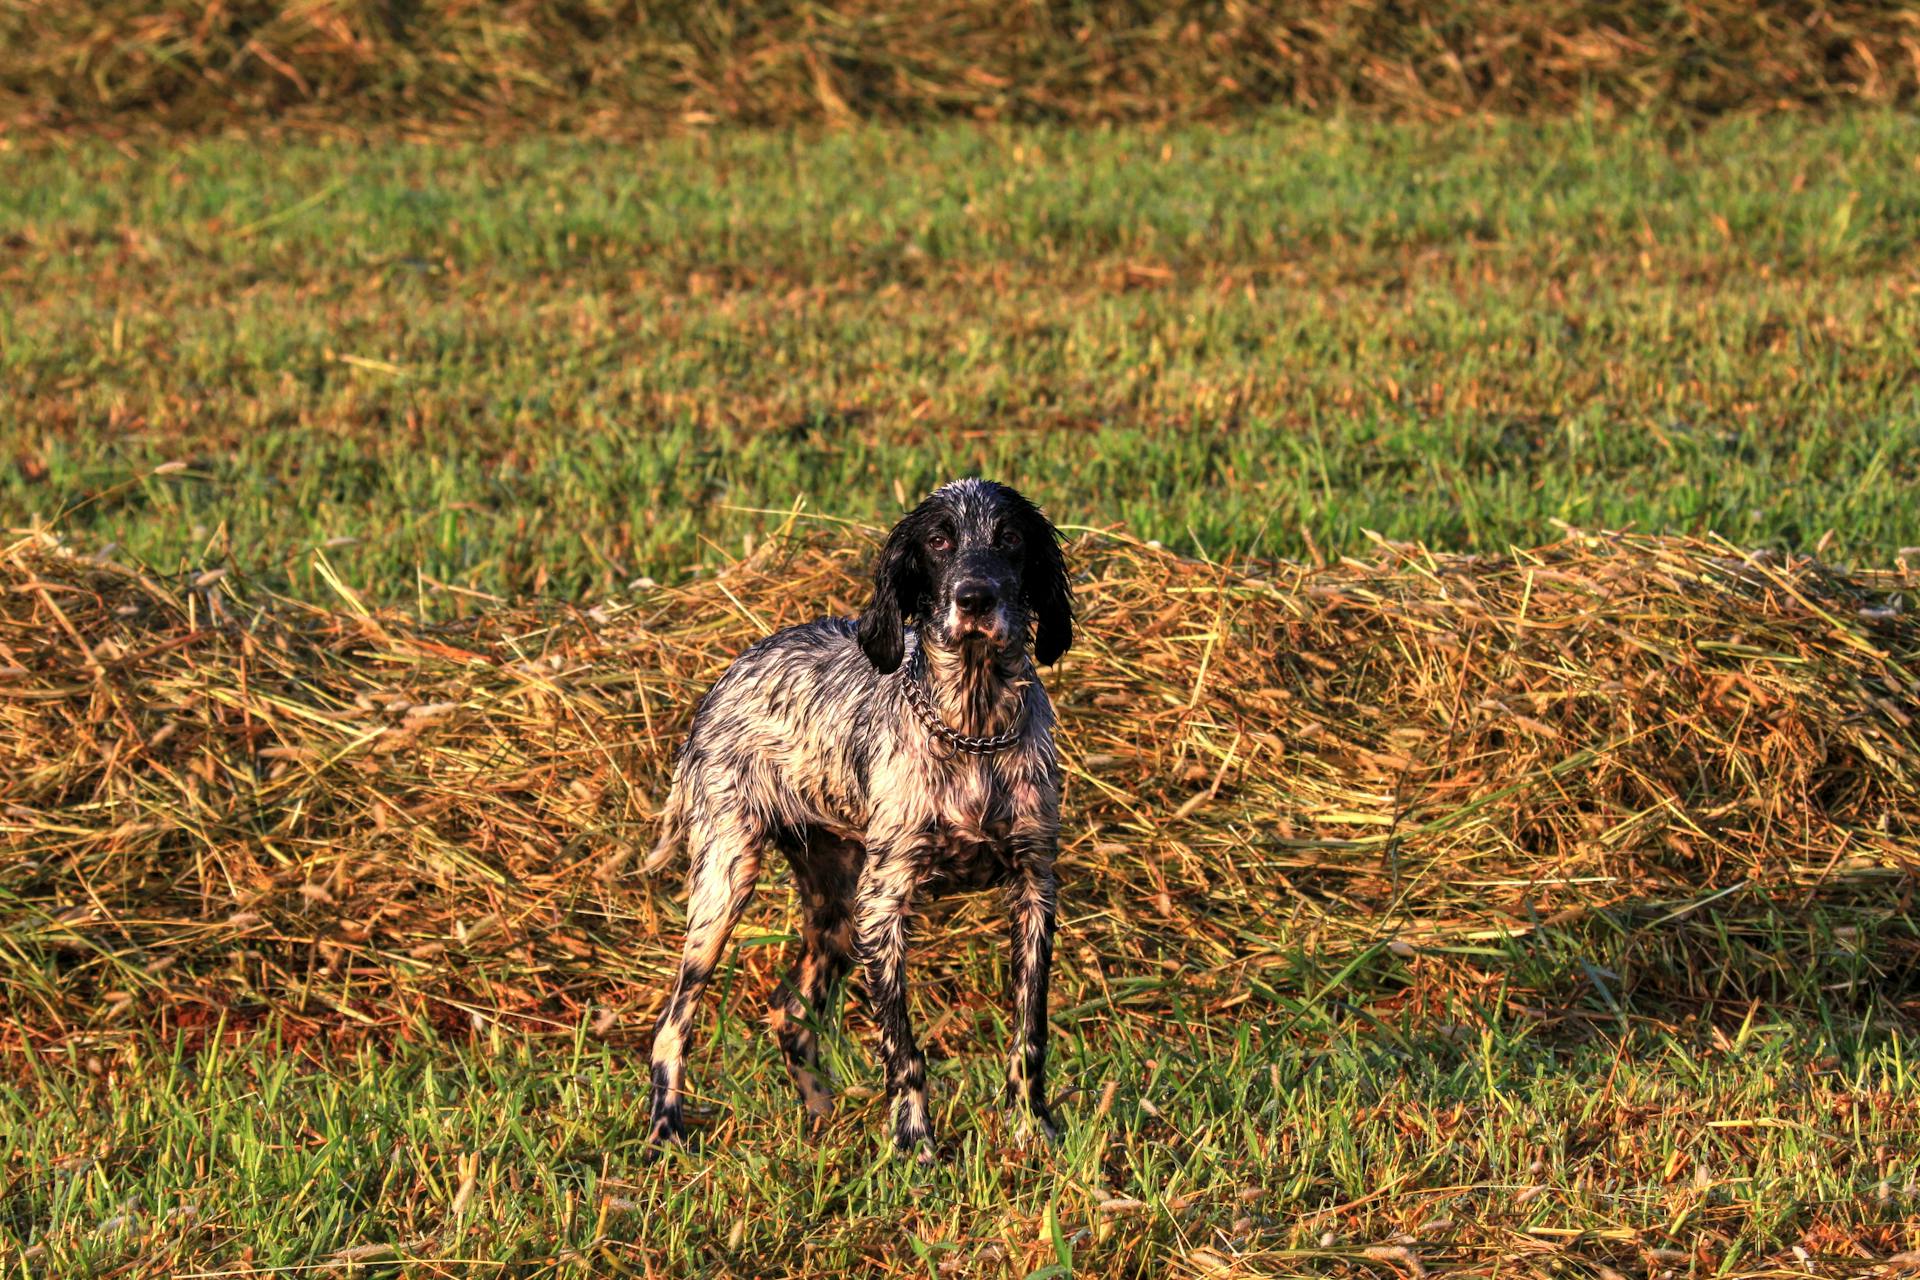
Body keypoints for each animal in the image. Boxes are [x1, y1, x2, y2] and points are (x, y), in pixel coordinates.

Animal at [641, 475, 1067, 1159]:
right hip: (726, 887)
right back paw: (665, 1131)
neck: (973, 732)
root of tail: (727, 675)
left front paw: (1034, 1129)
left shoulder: (1035, 888)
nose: (975, 597)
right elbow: (903, 1048)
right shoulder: (884, 905)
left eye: (1009, 538)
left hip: (836, 912)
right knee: (671, 1025)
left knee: (788, 1011)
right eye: (939, 541)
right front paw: (915, 1144)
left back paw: (819, 1117)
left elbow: (1029, 1033)